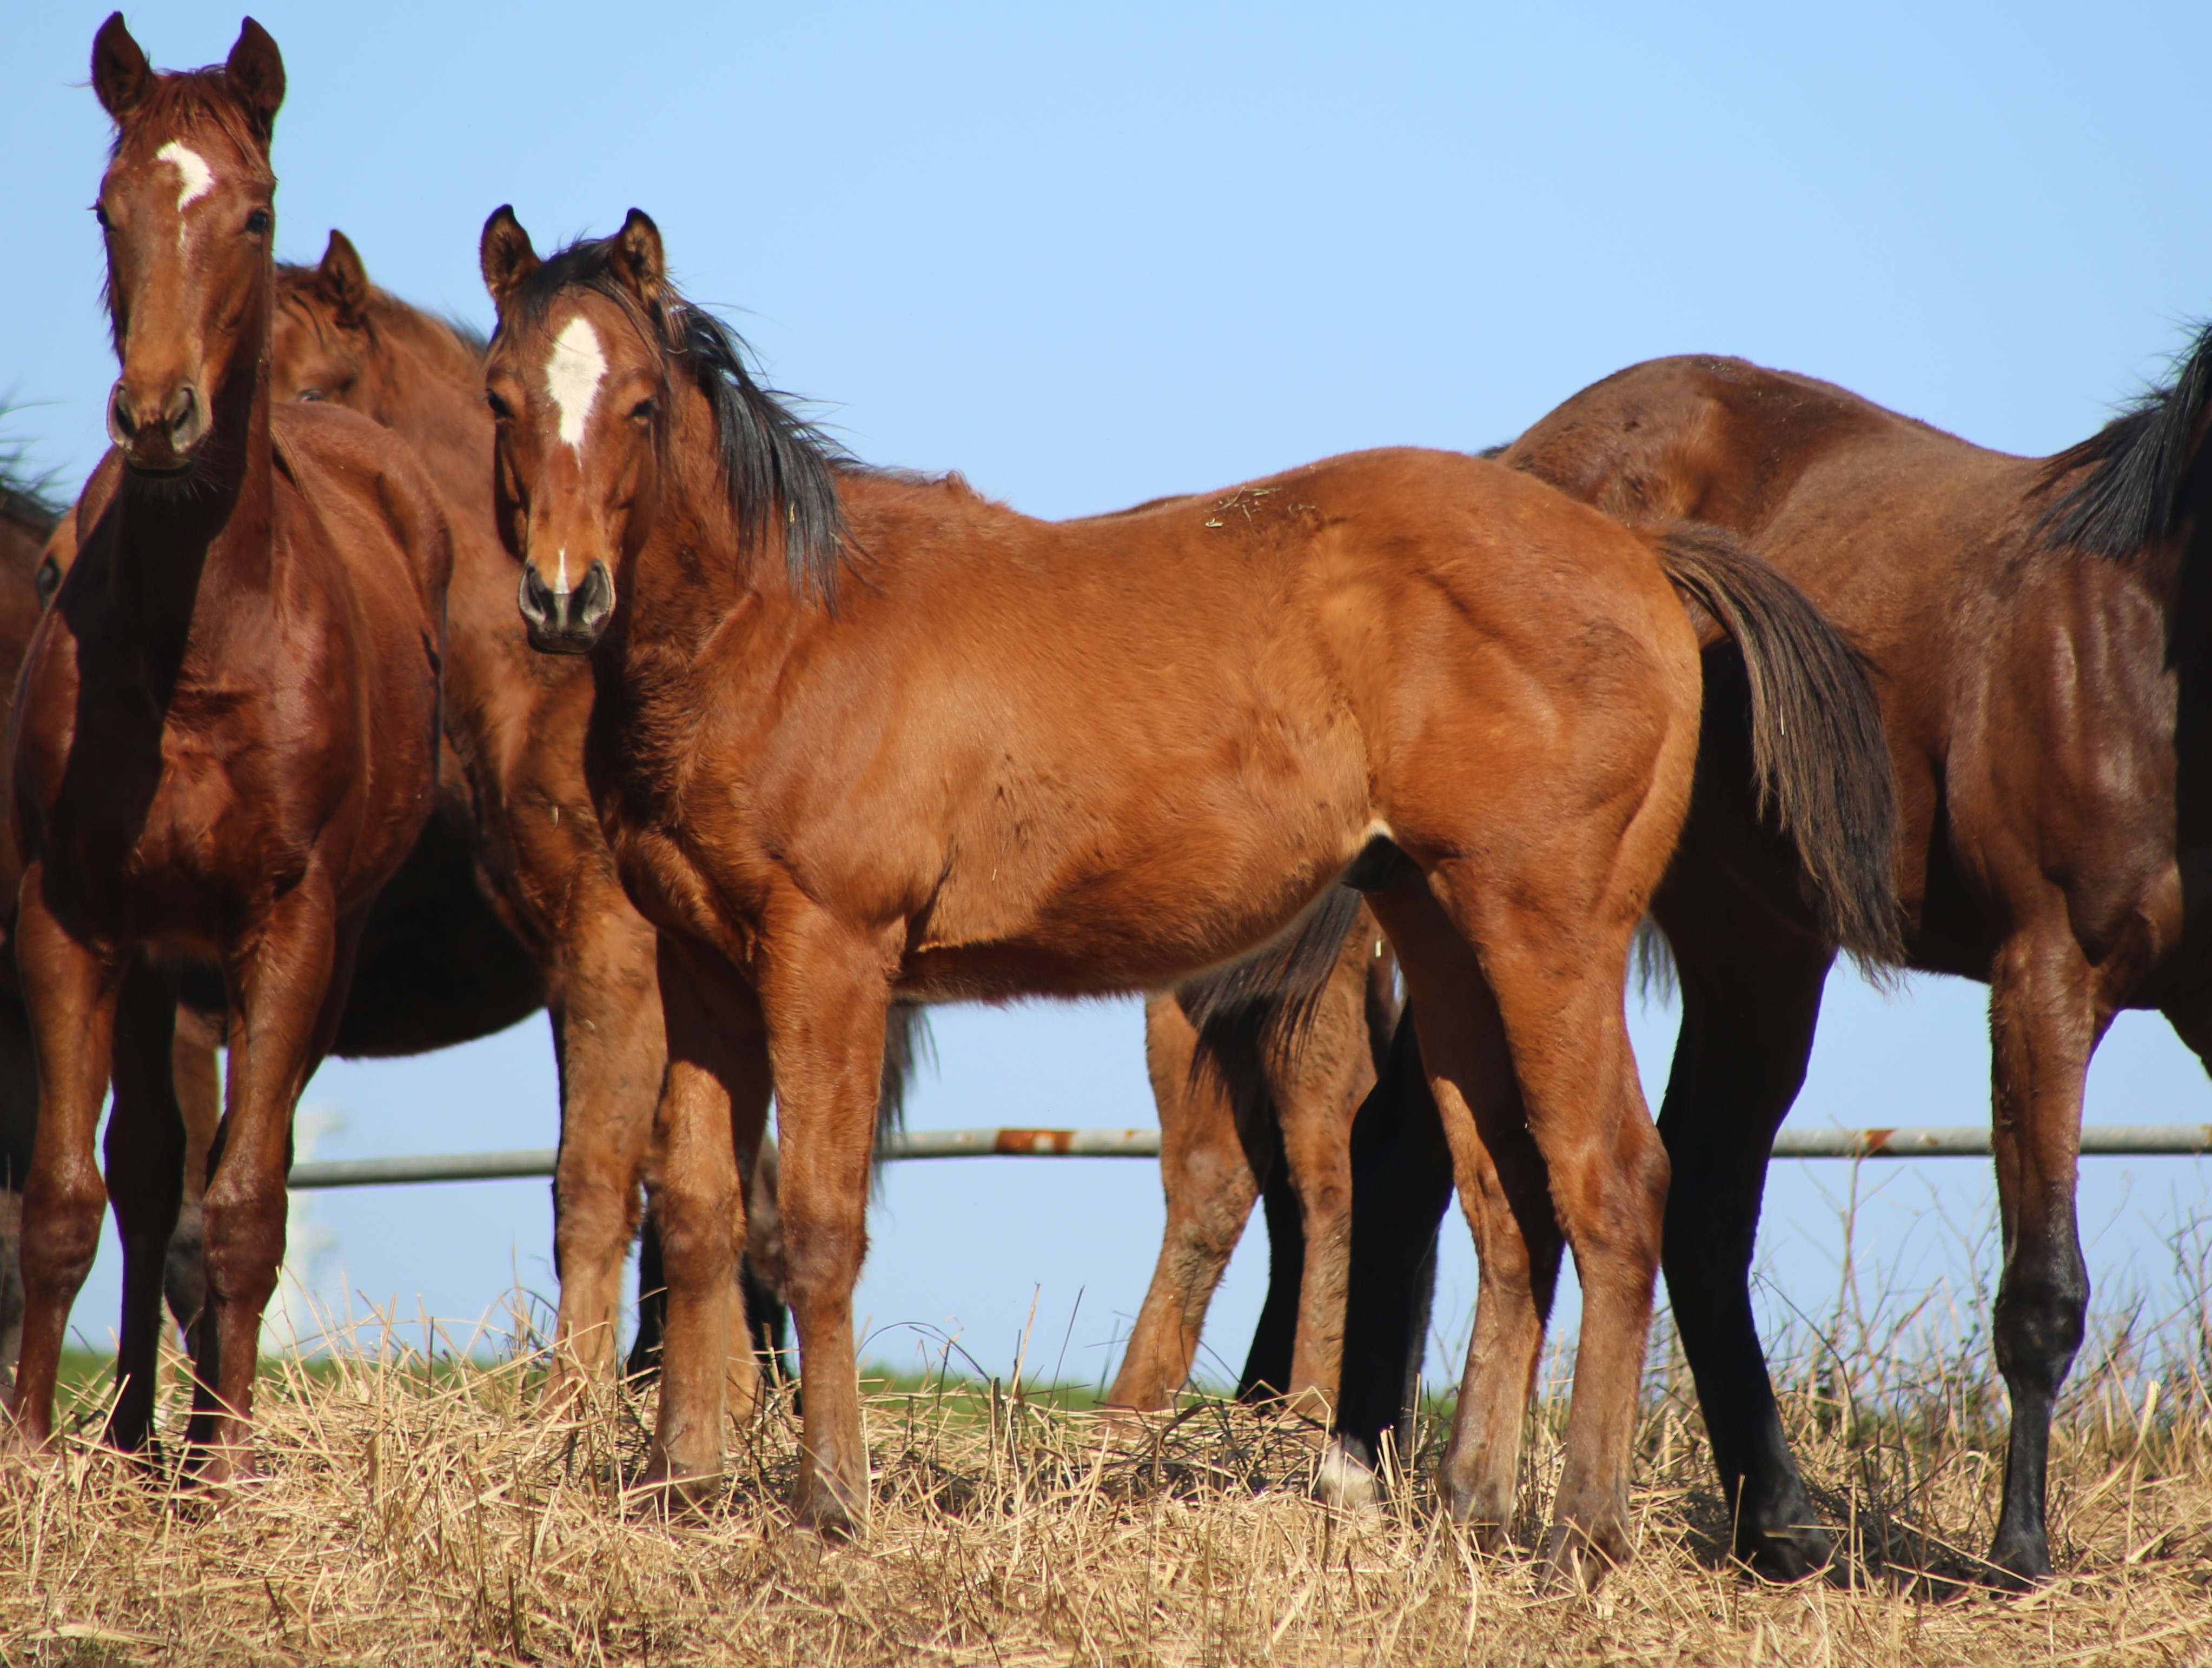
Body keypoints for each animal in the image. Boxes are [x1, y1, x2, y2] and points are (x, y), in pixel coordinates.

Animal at [1, 13, 453, 1468]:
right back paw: (139, 1427)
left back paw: (195, 1439)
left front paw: (223, 1477)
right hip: (157, 957)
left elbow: (252, 1206)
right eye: (108, 207)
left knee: (238, 1173)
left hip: (309, 951)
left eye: (254, 211)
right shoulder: (72, 915)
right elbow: (67, 1199)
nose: (159, 415)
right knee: (150, 1175)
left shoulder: (289, 925)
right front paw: (38, 1456)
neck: (201, 644)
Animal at [466, 208, 1884, 1575]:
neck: (783, 626)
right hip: (1444, 934)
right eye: (500, 395)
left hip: (1549, 936)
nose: (561, 596)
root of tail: (1638, 552)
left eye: (639, 401)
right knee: (1507, 1203)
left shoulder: (832, 954)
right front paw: (679, 1484)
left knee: (1614, 1185)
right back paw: (1472, 1508)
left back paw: (1579, 1532)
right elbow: (702, 1214)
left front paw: (827, 1501)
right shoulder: (703, 963)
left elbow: (814, 1223)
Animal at [1468, 345, 2212, 1575]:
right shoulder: (2045, 977)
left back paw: (1775, 1520)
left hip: (1758, 947)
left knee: (1700, 1200)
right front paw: (2018, 1554)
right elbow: (2040, 1292)